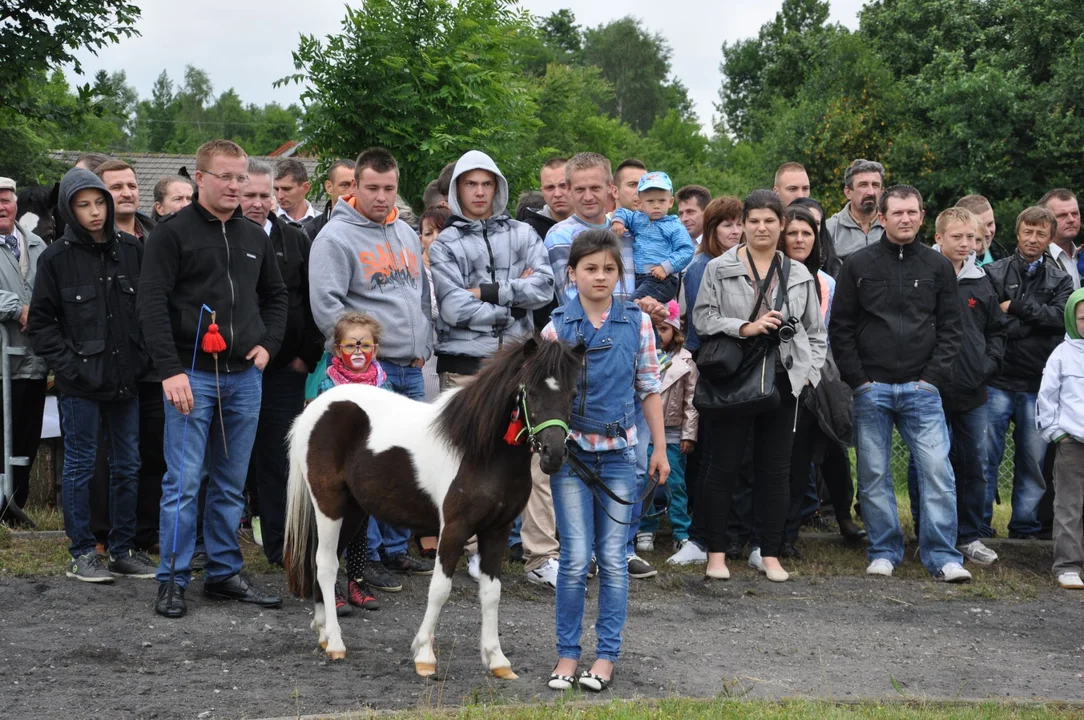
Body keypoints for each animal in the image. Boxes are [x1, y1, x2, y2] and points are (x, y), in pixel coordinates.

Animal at [279, 333, 585, 676]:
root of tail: (315, 408)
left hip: (354, 511)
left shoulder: (497, 531)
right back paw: (334, 641)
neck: (481, 452)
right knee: (327, 564)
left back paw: (321, 629)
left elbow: (491, 593)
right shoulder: (454, 529)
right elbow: (440, 589)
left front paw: (497, 659)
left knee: (320, 561)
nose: (553, 455)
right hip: (328, 504)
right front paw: (424, 654)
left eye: (573, 394)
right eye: (530, 391)